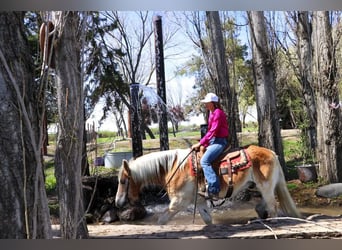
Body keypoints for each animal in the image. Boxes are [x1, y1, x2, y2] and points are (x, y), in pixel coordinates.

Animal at [115, 145, 302, 225]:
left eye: (123, 181)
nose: (117, 203)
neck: (174, 168)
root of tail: (271, 152)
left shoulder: (178, 203)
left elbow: (161, 220)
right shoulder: (200, 201)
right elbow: (207, 220)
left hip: (266, 186)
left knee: (273, 206)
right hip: (260, 187)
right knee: (264, 205)